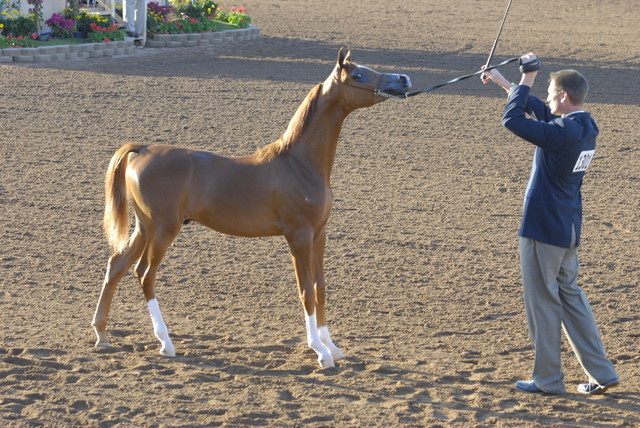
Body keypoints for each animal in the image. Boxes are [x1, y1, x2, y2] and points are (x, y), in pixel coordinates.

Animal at [91, 48, 411, 368]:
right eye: (358, 74)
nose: (403, 79)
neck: (298, 164)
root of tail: (144, 149)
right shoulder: (299, 236)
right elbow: (306, 291)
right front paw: (319, 351)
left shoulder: (319, 235)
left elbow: (320, 288)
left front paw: (331, 346)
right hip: (163, 229)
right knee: (145, 274)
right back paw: (166, 343)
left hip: (144, 228)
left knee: (116, 265)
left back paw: (102, 334)